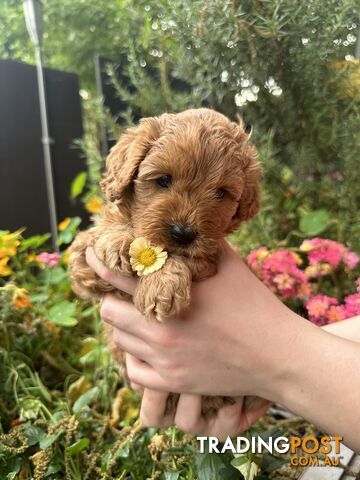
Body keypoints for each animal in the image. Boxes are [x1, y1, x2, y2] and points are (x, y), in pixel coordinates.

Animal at [69, 108, 262, 416]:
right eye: (163, 180)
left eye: (220, 193)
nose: (183, 233)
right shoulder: (81, 266)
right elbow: (98, 236)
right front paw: (119, 240)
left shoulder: (207, 258)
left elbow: (182, 258)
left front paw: (161, 287)